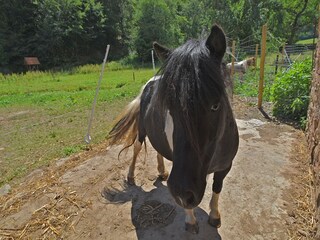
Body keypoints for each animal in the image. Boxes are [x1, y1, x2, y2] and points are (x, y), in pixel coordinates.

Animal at [107, 24, 238, 234]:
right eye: (169, 107)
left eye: (215, 105)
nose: (182, 191)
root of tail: (149, 84)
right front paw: (191, 220)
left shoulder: (225, 166)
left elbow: (217, 188)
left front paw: (214, 215)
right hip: (142, 131)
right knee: (136, 147)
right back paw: (131, 175)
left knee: (158, 149)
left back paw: (161, 171)